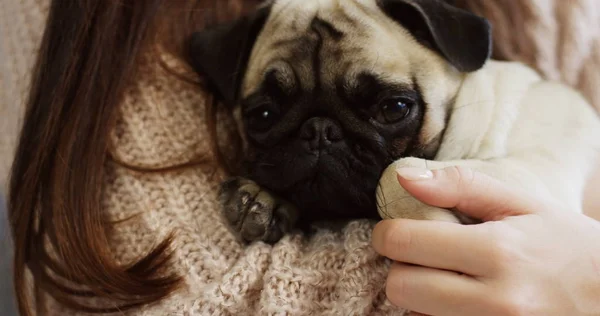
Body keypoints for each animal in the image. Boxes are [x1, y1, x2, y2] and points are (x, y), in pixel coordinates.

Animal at [191, 0, 600, 244]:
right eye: (263, 115)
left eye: (393, 108)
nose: (320, 130)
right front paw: (262, 199)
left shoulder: (537, 173)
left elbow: (395, 174)